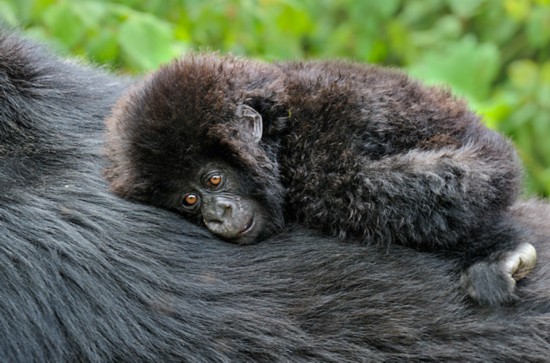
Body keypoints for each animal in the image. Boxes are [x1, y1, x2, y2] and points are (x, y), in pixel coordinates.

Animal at [104, 52, 540, 306]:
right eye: (188, 201)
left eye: (213, 181)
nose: (217, 215)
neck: (282, 134)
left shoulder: (322, 146)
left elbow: (471, 175)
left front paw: (497, 248)